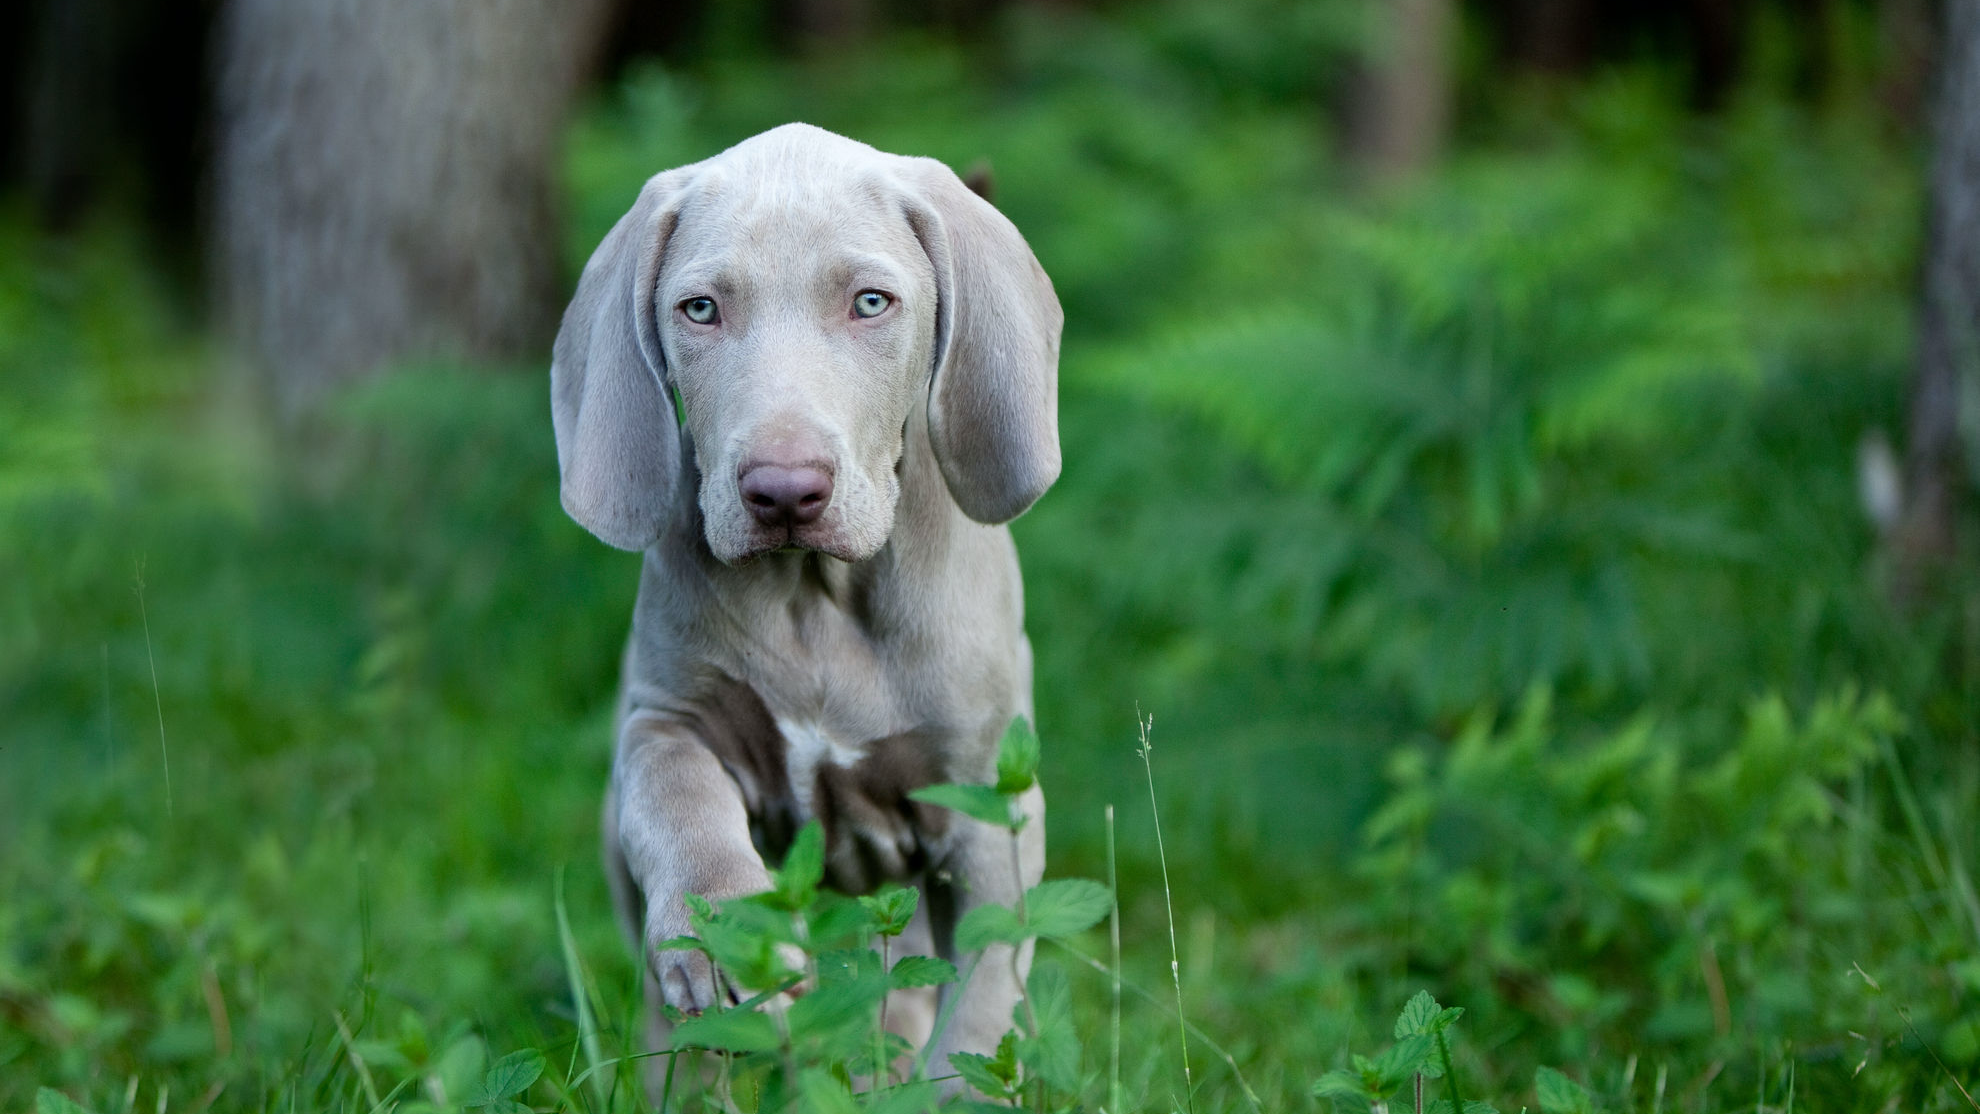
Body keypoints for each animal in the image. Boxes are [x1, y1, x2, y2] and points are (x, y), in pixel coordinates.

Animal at [550, 124, 1061, 1084]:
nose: (784, 492)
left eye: (870, 303)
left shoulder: (989, 804)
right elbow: (679, 801)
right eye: (700, 310)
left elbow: (980, 1001)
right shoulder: (663, 717)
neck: (815, 596)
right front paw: (721, 939)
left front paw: (953, 1084)